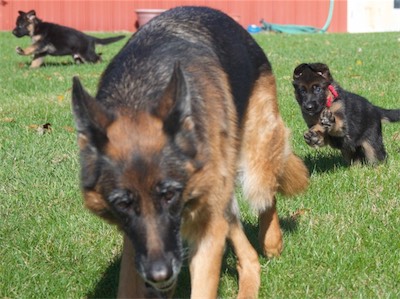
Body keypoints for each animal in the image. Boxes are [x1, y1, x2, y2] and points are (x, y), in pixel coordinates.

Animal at [72, 5, 310, 298]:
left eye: (169, 195)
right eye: (123, 203)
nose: (159, 274)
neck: (140, 96)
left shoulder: (206, 229)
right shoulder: (137, 242)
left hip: (255, 159)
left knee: (267, 195)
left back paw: (272, 241)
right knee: (248, 256)